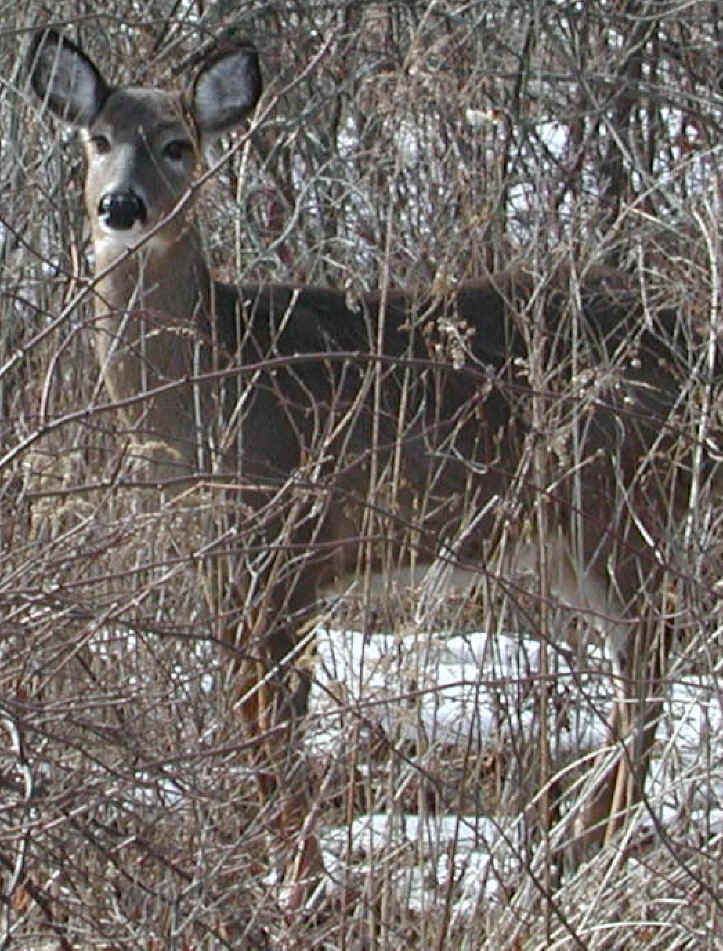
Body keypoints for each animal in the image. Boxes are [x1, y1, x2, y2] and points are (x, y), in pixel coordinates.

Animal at [27, 26, 720, 903]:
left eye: (178, 144)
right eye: (97, 140)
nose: (121, 206)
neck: (216, 388)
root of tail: (694, 348)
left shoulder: (289, 536)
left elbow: (275, 717)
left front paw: (303, 880)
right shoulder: (223, 556)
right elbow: (248, 708)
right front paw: (286, 865)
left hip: (618, 499)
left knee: (654, 656)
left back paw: (577, 846)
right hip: (568, 534)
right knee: (643, 659)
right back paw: (573, 845)